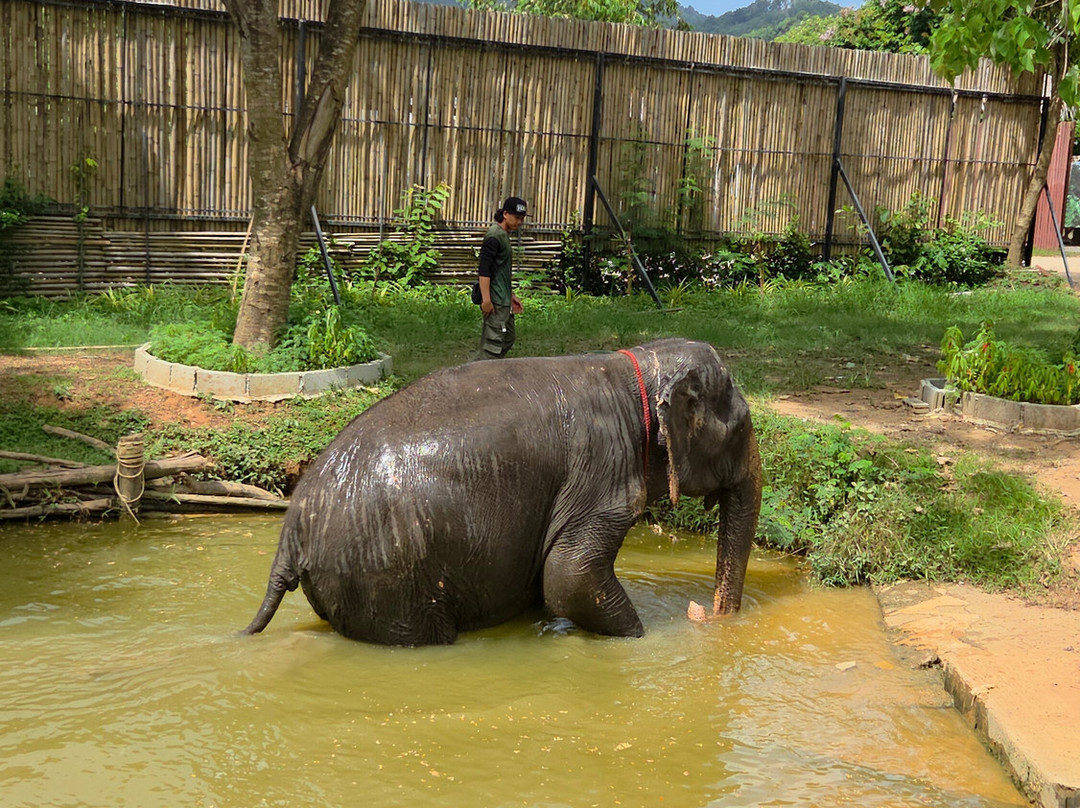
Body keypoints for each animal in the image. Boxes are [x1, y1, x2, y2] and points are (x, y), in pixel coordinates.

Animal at [242, 338, 762, 646]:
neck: (633, 367)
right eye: (739, 428)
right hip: (387, 573)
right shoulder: (602, 471)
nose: (706, 616)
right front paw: (643, 641)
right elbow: (570, 576)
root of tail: (291, 535)